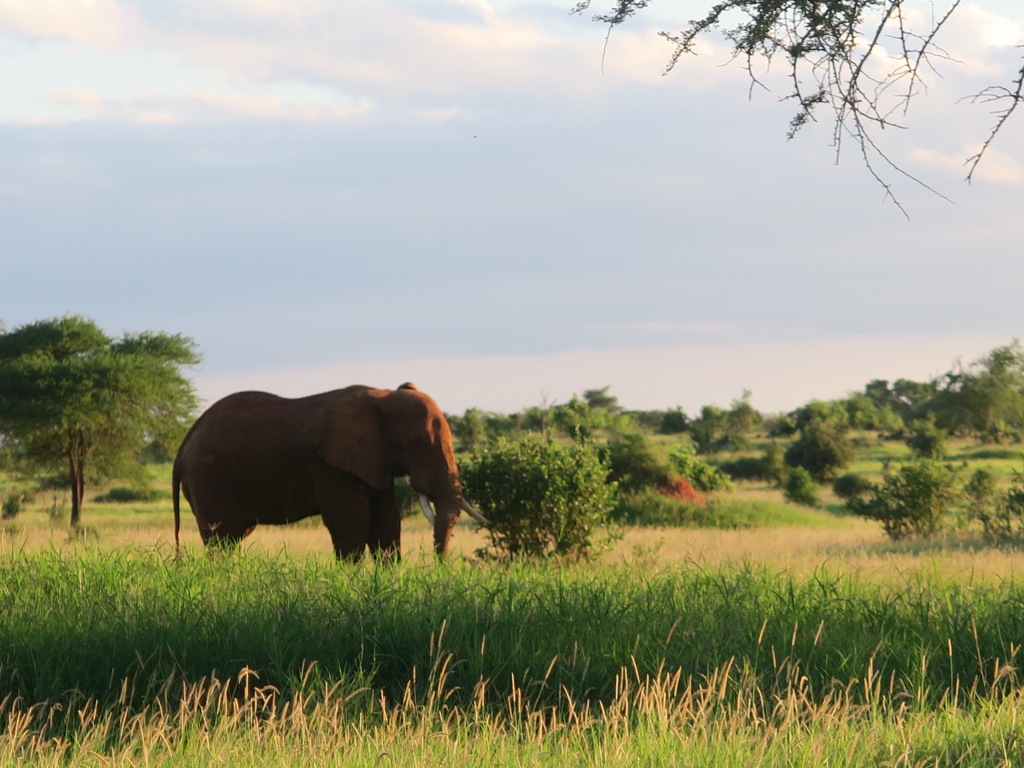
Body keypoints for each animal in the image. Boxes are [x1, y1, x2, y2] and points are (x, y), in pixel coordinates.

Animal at [171, 382, 483, 561]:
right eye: (416, 443)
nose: (442, 567)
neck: (383, 397)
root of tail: (185, 439)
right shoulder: (332, 466)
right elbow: (351, 526)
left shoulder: (374, 461)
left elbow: (386, 524)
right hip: (208, 476)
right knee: (222, 539)